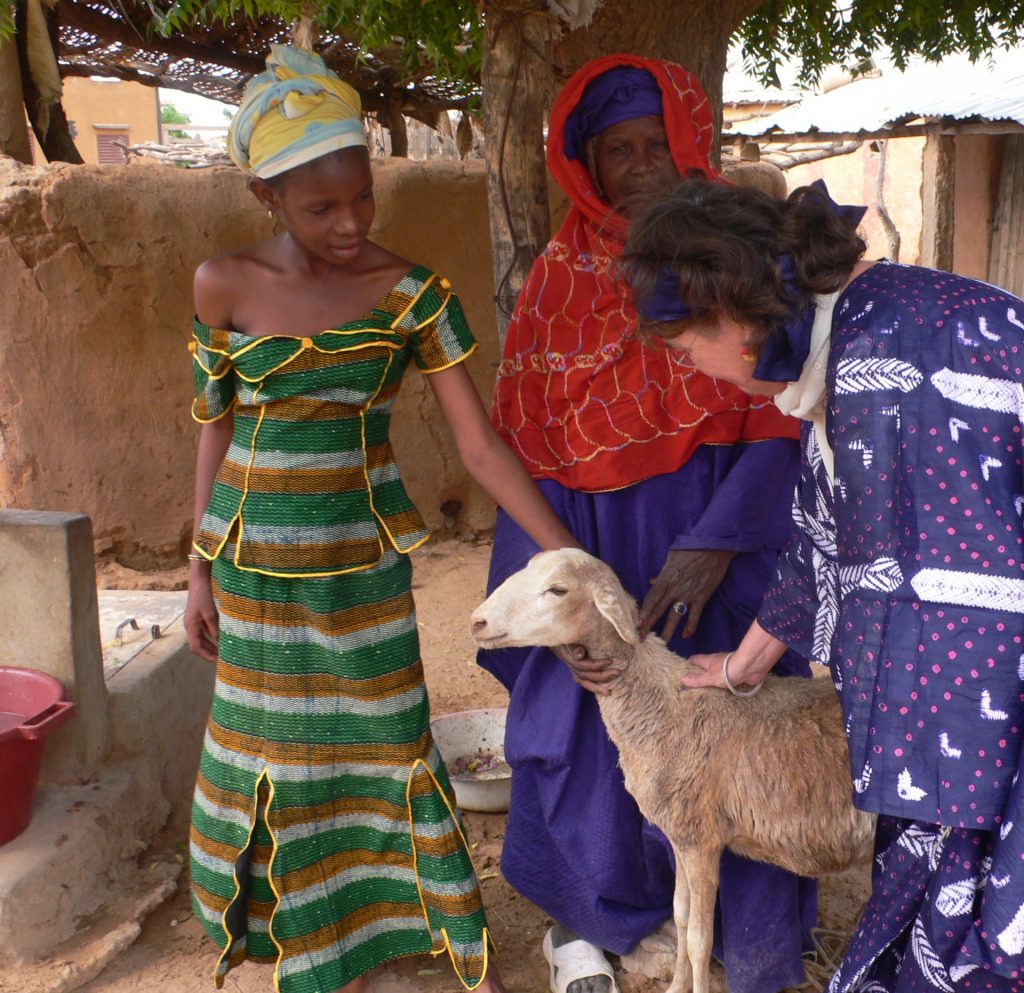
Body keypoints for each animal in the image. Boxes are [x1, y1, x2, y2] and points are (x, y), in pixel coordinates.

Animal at [471, 544, 872, 990]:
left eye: (558, 590)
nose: (477, 621)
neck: (663, 703)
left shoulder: (702, 840)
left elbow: (699, 938)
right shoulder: (679, 835)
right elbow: (679, 917)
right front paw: (677, 985)